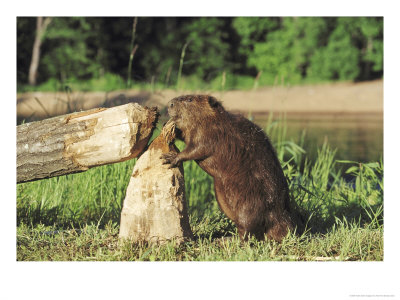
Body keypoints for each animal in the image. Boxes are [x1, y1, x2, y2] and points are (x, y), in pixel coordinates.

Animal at [162, 94, 296, 241]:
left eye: (190, 99)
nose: (170, 103)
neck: (215, 120)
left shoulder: (212, 134)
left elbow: (197, 149)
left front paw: (171, 158)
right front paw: (168, 127)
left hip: (249, 205)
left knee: (248, 231)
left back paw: (227, 239)